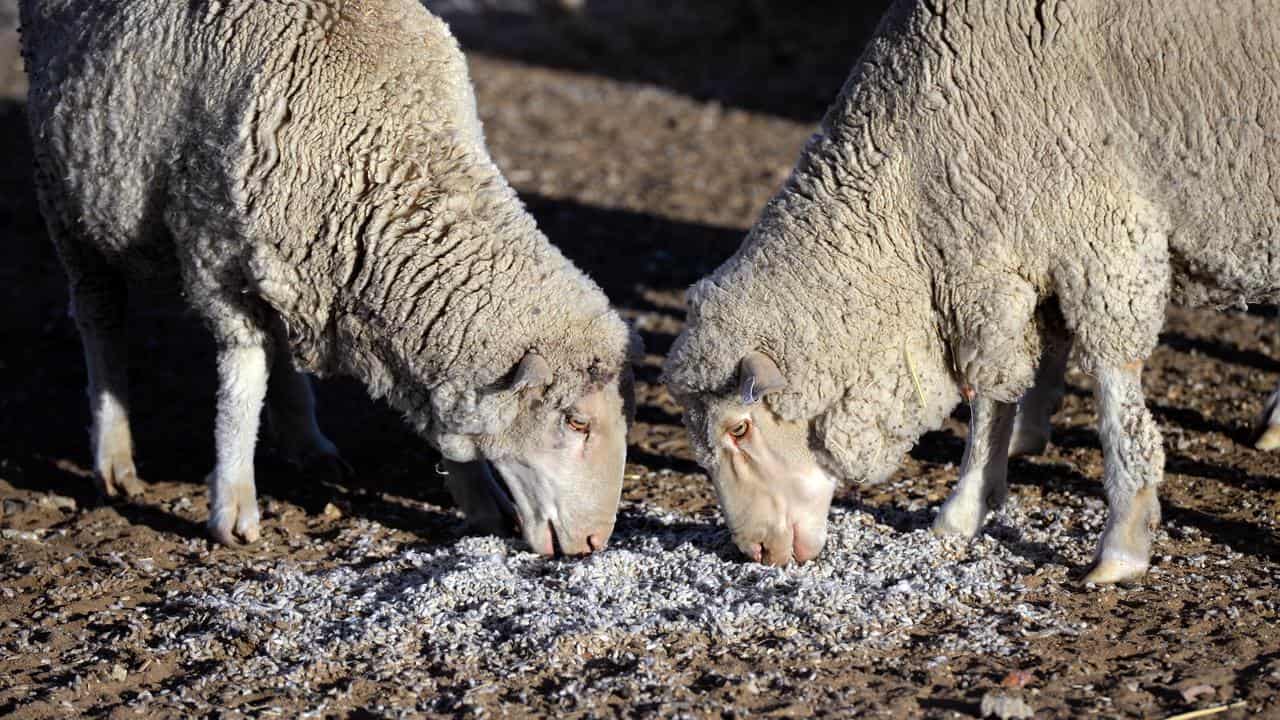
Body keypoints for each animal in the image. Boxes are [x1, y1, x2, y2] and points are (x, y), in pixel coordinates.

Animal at [20, 0, 640, 550]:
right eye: (576, 423)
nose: (593, 542)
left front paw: (477, 498)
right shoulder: (215, 256)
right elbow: (241, 381)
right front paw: (232, 506)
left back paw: (306, 441)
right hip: (68, 195)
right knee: (99, 315)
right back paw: (113, 454)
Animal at [660, 0, 1280, 579]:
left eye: (739, 427)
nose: (758, 552)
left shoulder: (1101, 233)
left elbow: (1113, 392)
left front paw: (1124, 538)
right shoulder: (989, 259)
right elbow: (992, 395)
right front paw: (966, 507)